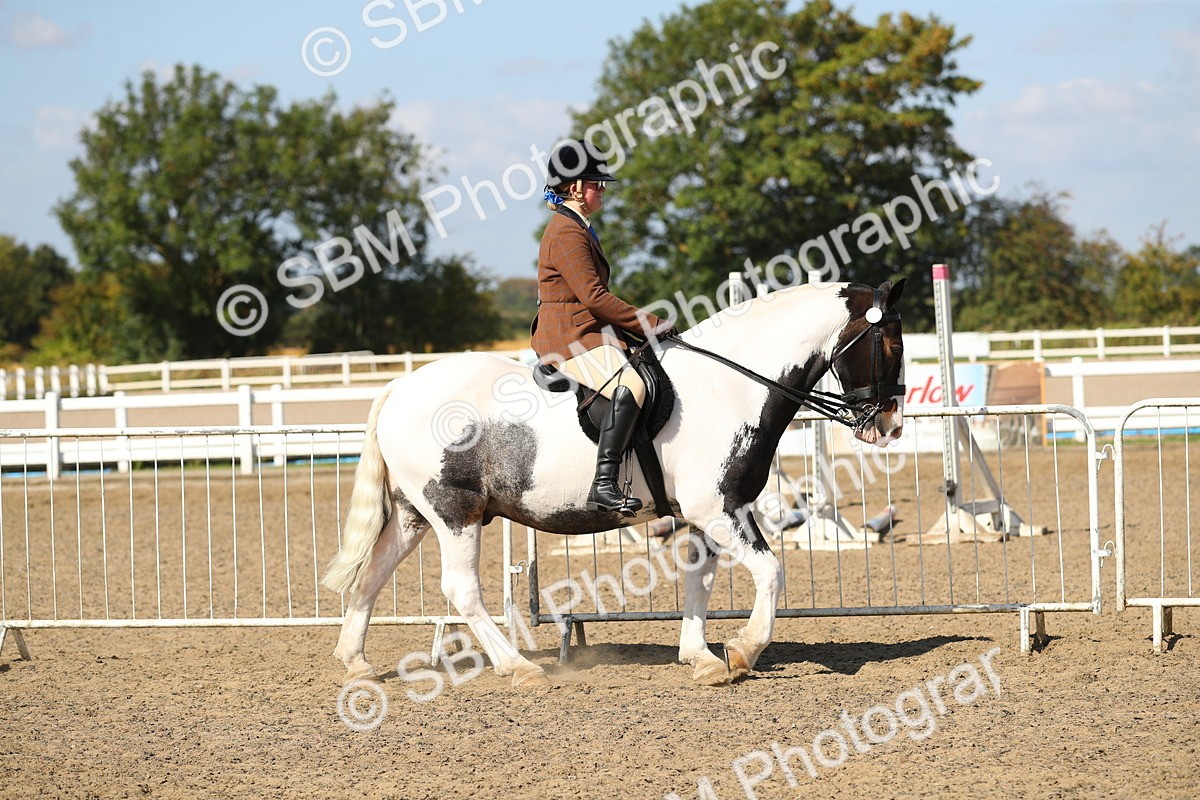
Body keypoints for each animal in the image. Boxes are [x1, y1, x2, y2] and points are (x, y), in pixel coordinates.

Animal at [322, 279, 907, 687]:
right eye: (892, 346)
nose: (890, 426)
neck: (730, 384)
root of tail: (400, 387)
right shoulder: (719, 508)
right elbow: (770, 572)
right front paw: (743, 650)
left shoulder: (707, 513)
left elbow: (699, 580)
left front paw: (701, 658)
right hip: (454, 512)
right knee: (461, 590)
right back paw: (519, 668)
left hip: (413, 514)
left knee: (372, 575)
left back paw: (355, 662)